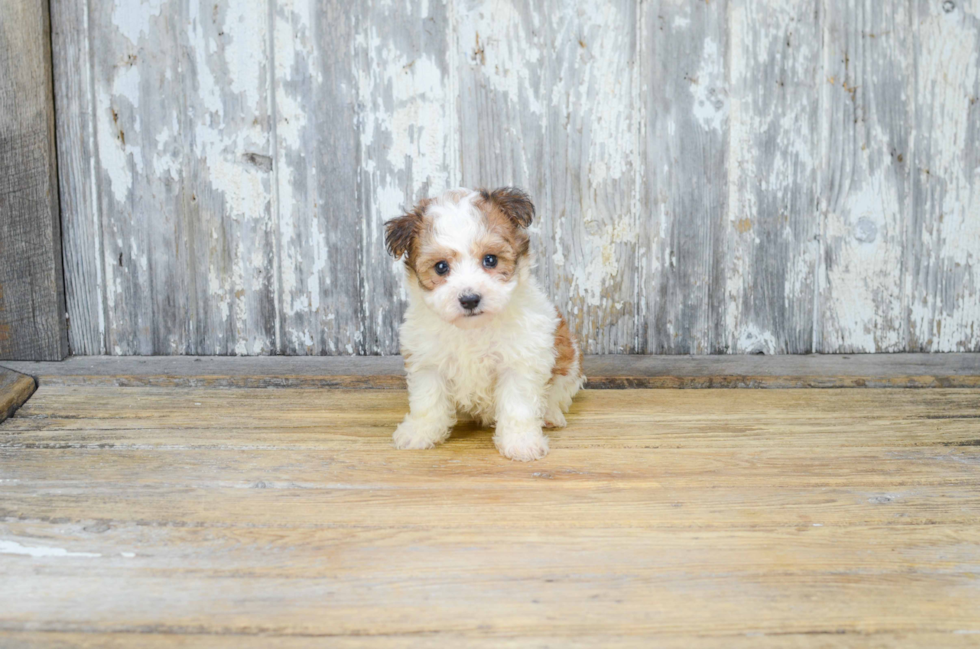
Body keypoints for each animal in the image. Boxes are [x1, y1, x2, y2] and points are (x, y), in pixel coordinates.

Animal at [382, 187, 580, 460]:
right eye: (441, 267)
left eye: (490, 260)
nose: (469, 299)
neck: (472, 330)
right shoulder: (428, 360)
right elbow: (427, 399)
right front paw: (420, 432)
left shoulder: (521, 360)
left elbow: (518, 405)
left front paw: (521, 442)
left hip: (568, 361)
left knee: (558, 393)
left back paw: (550, 415)